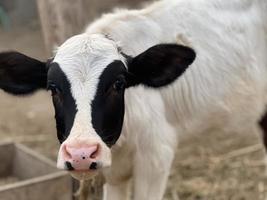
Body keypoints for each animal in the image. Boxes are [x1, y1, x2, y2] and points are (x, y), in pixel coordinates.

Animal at [0, 0, 267, 200]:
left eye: (119, 84)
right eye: (53, 88)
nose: (80, 154)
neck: (119, 145)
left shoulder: (156, 155)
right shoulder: (113, 174)